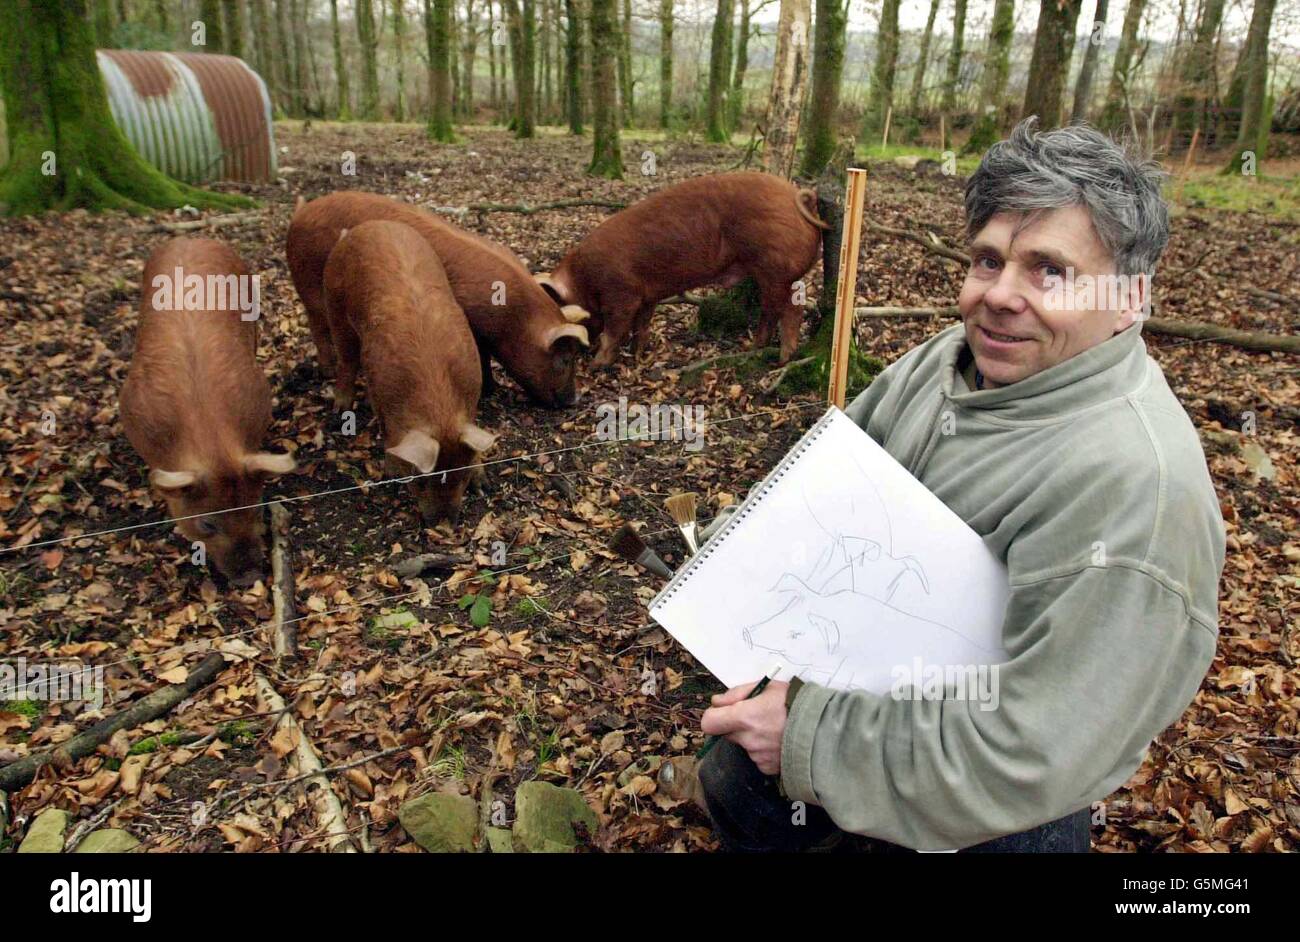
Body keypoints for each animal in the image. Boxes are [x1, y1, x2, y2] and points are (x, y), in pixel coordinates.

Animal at [287, 192, 592, 405]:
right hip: (308, 281)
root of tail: (302, 211)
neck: (515, 317)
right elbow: (481, 356)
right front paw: (488, 391)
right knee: (317, 324)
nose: (574, 401)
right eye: (565, 359)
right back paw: (327, 372)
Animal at [321, 222, 496, 530]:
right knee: (346, 361)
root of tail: (365, 226)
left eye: (462, 476)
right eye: (421, 481)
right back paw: (340, 410)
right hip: (335, 305)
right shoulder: (379, 390)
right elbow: (388, 434)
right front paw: (392, 477)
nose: (442, 524)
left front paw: (483, 485)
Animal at [540, 172, 826, 366]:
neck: (584, 277)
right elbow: (642, 325)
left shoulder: (621, 293)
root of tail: (799, 198)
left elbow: (615, 330)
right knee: (783, 308)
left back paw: (776, 357)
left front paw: (598, 365)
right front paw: (637, 356)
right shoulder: (647, 296)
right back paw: (761, 351)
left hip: (775, 268)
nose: (579, 352)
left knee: (784, 310)